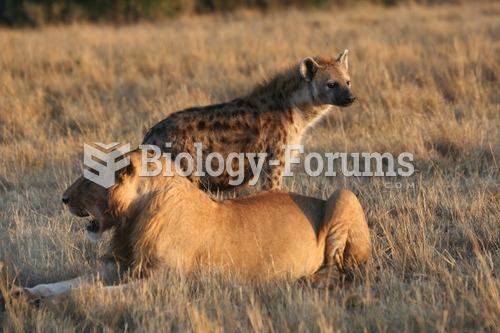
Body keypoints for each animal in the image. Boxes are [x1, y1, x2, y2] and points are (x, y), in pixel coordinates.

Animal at [19, 149, 372, 296]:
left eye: (92, 176)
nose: (63, 198)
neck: (133, 219)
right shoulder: (120, 265)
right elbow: (72, 281)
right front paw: (28, 292)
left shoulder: (169, 279)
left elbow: (95, 293)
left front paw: (65, 301)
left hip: (343, 195)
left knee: (339, 271)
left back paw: (300, 281)